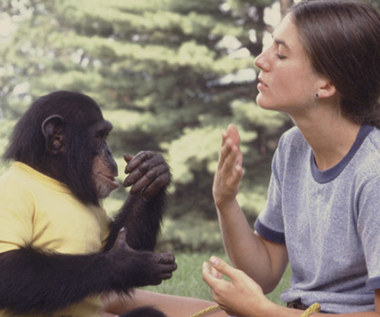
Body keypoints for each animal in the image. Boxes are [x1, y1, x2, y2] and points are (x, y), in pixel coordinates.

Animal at [0, 90, 177, 314]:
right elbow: (8, 269)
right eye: (99, 136)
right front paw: (127, 264)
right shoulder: (9, 195)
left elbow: (113, 243)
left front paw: (153, 170)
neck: (52, 178)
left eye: (106, 136)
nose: (109, 152)